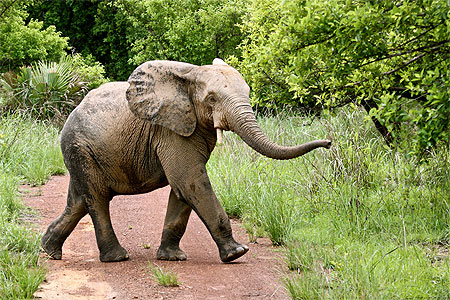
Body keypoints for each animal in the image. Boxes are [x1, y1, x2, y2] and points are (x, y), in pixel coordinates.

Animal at [41, 58, 330, 262]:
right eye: (212, 99)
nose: (328, 143)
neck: (191, 76)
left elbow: (183, 189)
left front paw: (173, 258)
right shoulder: (170, 130)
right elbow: (191, 182)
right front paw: (237, 253)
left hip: (82, 152)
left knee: (79, 201)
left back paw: (49, 250)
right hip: (80, 148)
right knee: (98, 199)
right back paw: (117, 258)